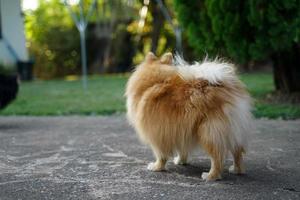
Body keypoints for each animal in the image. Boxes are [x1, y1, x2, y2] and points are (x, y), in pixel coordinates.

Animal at [125, 52, 252, 180]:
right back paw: (237, 170)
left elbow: (161, 154)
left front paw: (157, 167)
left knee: (218, 157)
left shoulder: (158, 133)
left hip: (209, 132)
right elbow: (183, 149)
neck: (156, 82)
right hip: (233, 131)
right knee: (237, 152)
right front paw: (181, 161)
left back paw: (210, 176)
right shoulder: (181, 130)